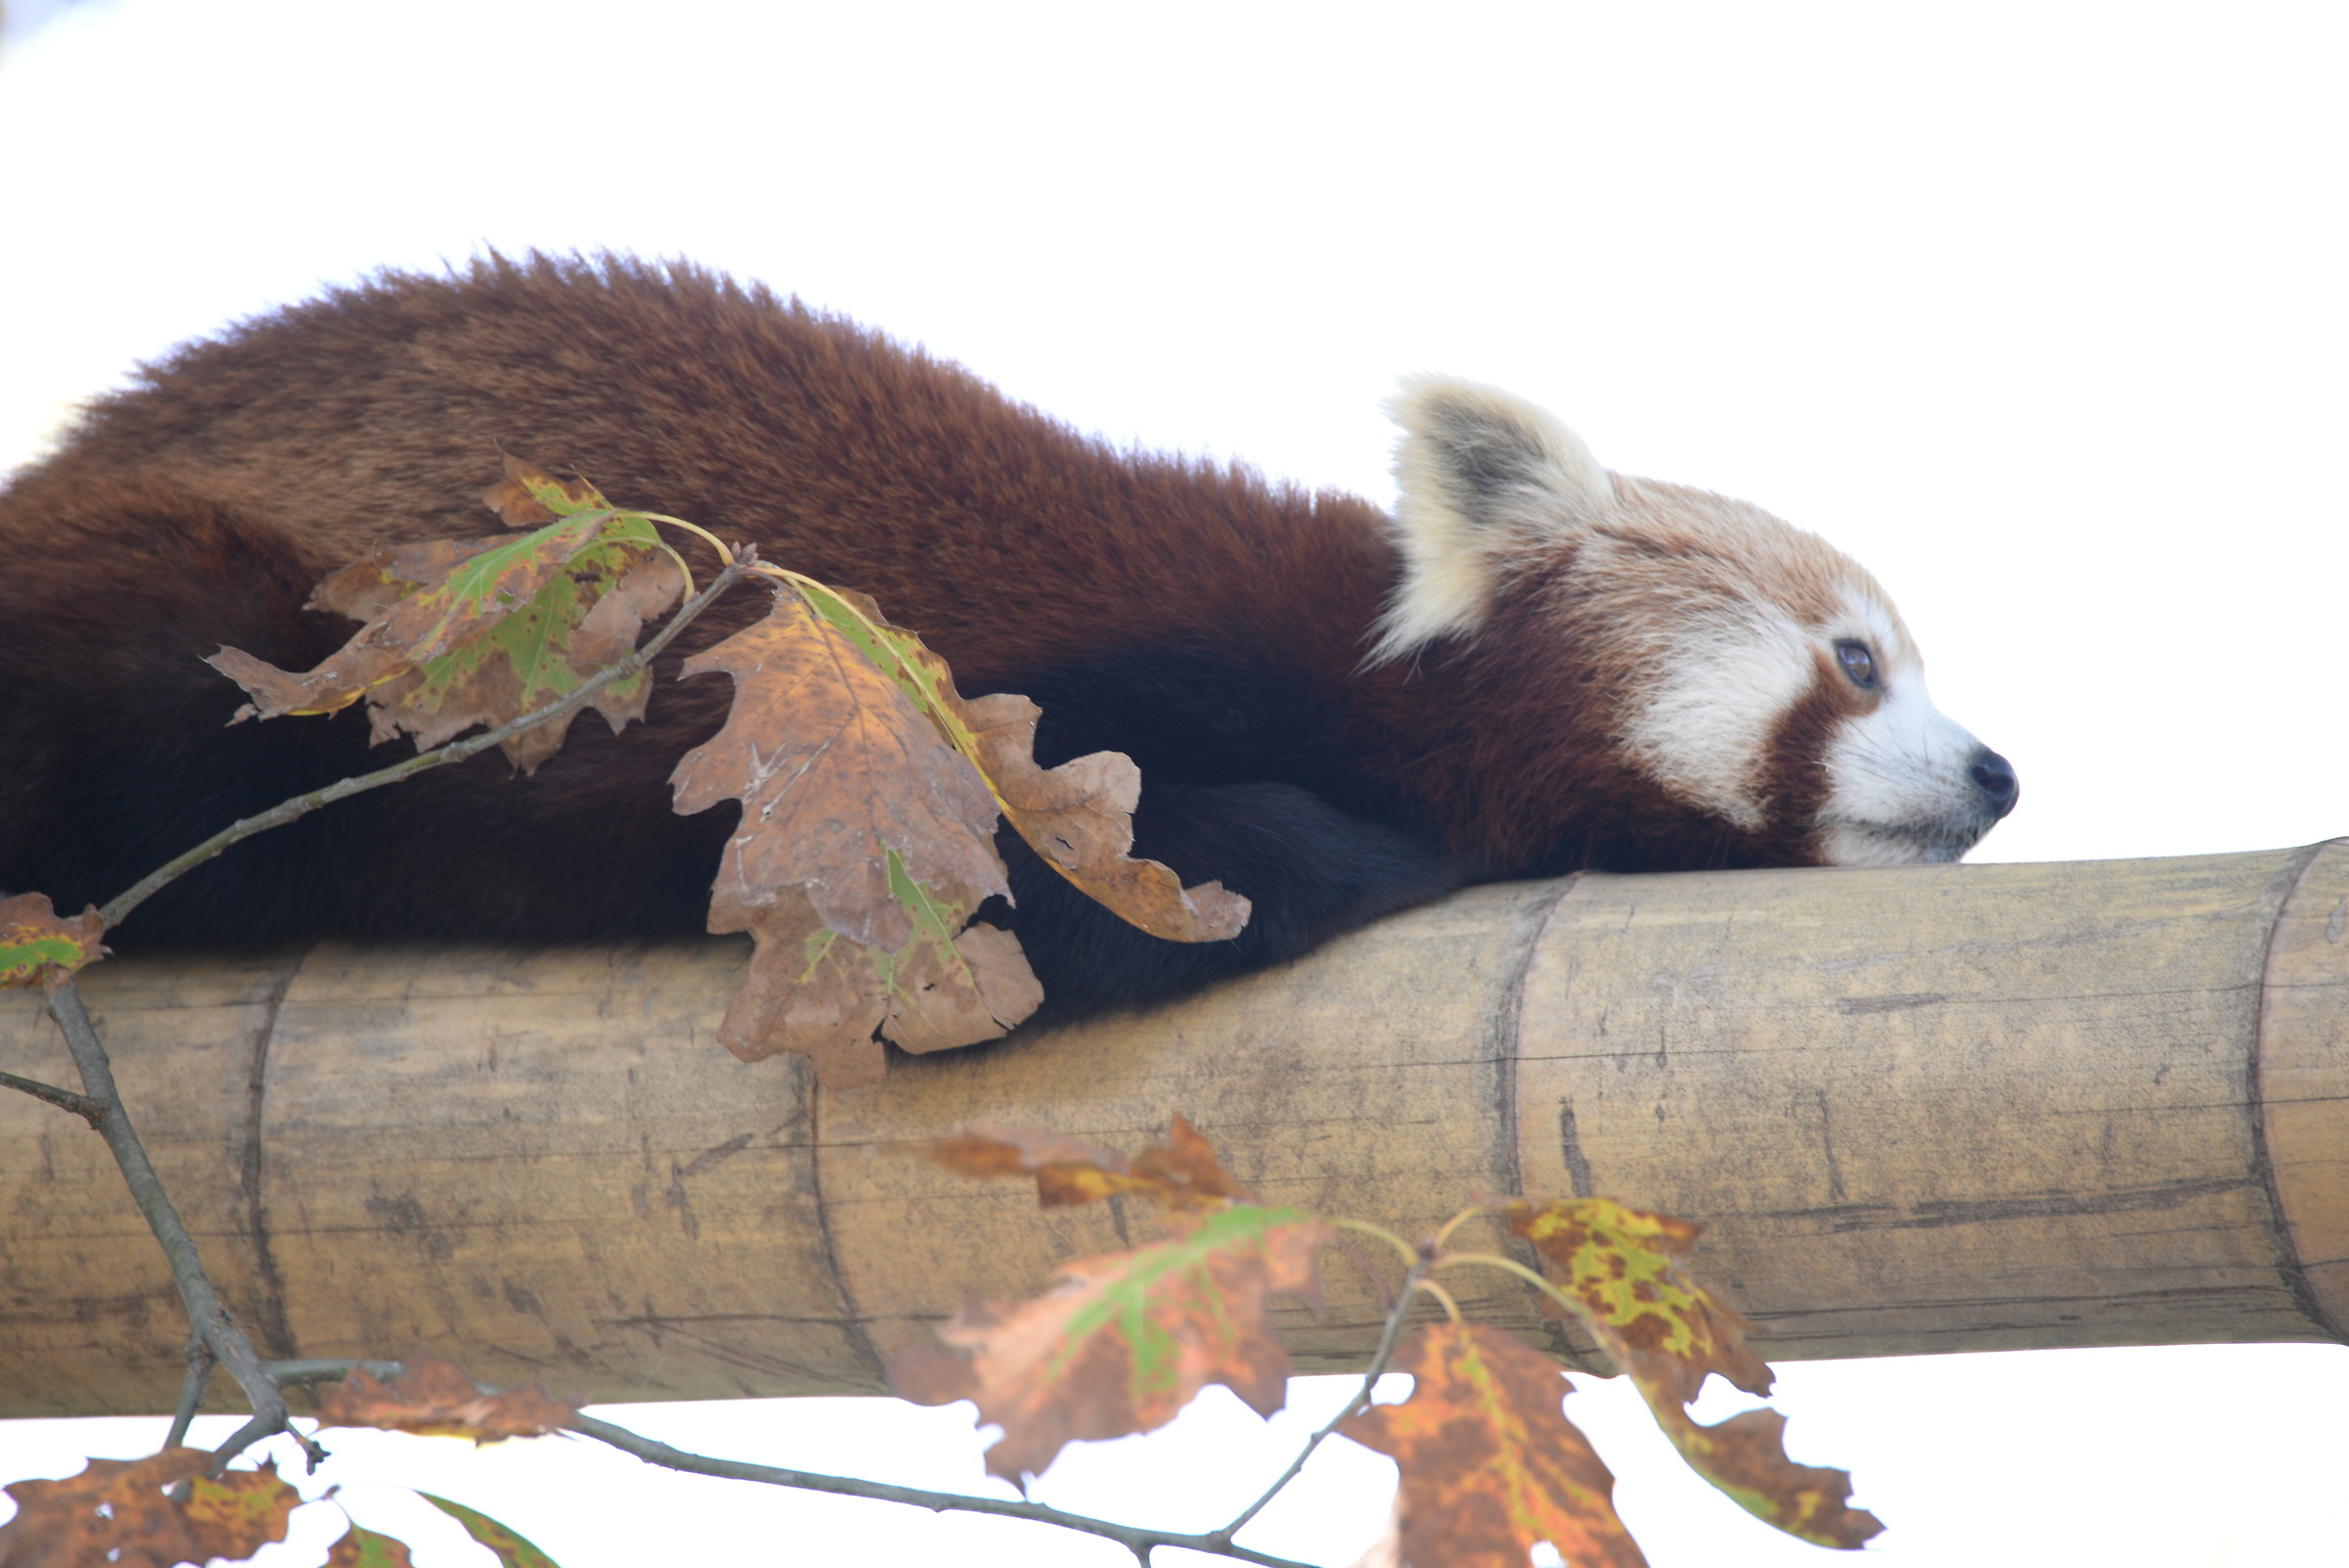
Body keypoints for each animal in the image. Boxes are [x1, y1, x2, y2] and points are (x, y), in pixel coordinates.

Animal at [0, 254, 2016, 1025]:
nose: (1998, 771)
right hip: (239, 615)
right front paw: (1362, 850)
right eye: (1855, 662)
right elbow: (1026, 883)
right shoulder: (1006, 678)